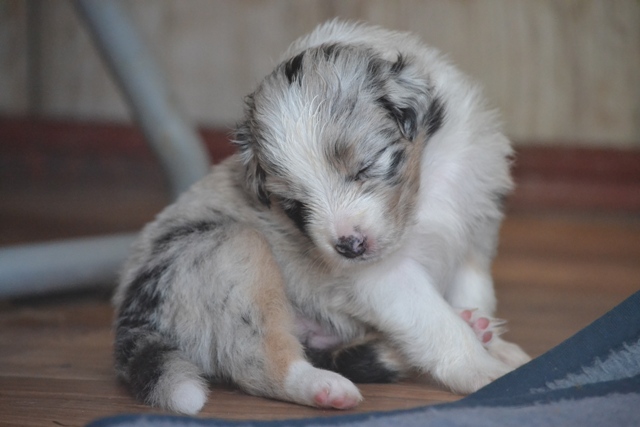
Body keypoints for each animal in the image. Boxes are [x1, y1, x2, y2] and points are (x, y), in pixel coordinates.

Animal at [113, 20, 531, 415]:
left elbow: (474, 292)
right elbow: (436, 322)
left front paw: (493, 342)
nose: (348, 246)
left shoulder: (473, 233)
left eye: (365, 167)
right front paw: (481, 369)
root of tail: (129, 318)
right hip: (233, 252)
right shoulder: (383, 277)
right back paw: (323, 388)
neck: (427, 186)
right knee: (258, 362)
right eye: (294, 203)